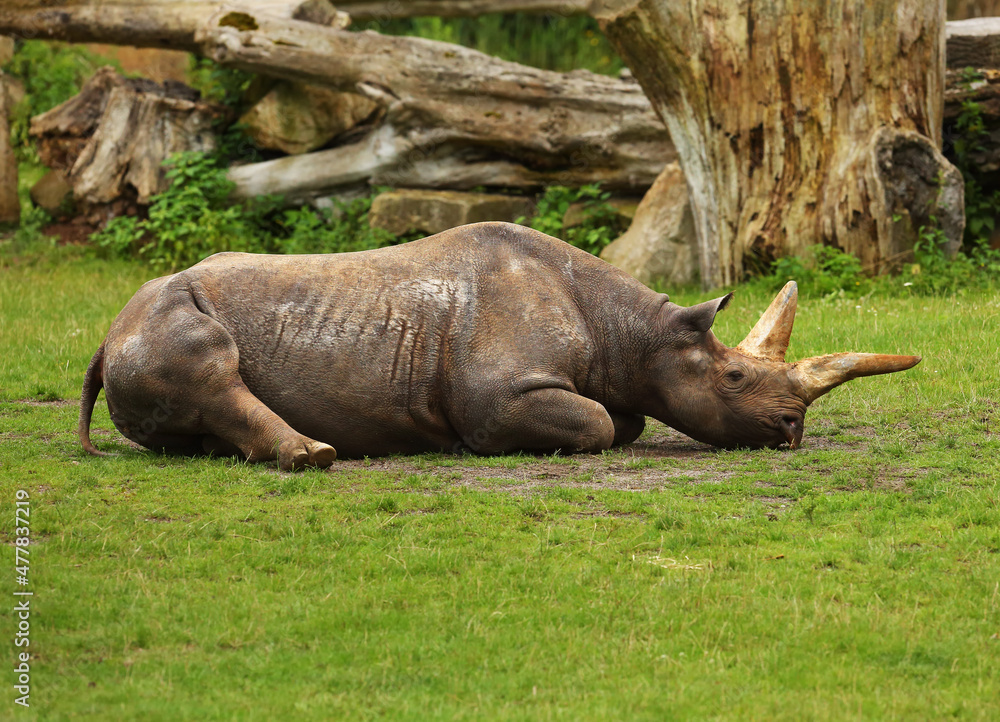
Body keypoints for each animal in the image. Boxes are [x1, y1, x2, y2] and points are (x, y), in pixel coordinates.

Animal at [79, 222, 919, 470]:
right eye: (737, 378)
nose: (792, 430)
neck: (633, 333)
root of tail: (106, 335)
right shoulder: (501, 392)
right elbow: (602, 425)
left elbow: (625, 418)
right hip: (161, 319)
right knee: (210, 368)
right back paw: (317, 457)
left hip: (146, 325)